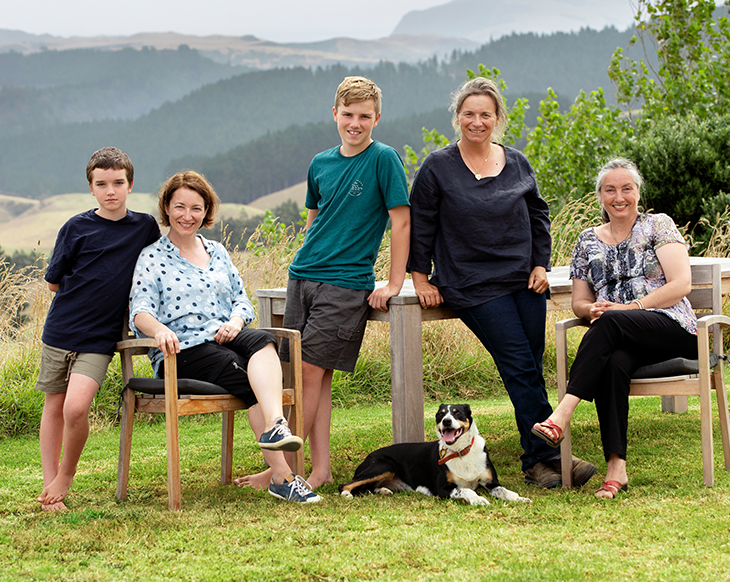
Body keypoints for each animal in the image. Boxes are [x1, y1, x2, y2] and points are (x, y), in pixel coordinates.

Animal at [342, 406, 528, 506]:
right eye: (440, 414)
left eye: (457, 413)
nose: (446, 421)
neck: (460, 453)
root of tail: (369, 456)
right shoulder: (442, 489)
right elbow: (466, 490)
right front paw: (478, 500)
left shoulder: (491, 482)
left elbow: (506, 491)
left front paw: (520, 498)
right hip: (386, 465)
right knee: (346, 485)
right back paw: (346, 494)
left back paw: (383, 490)